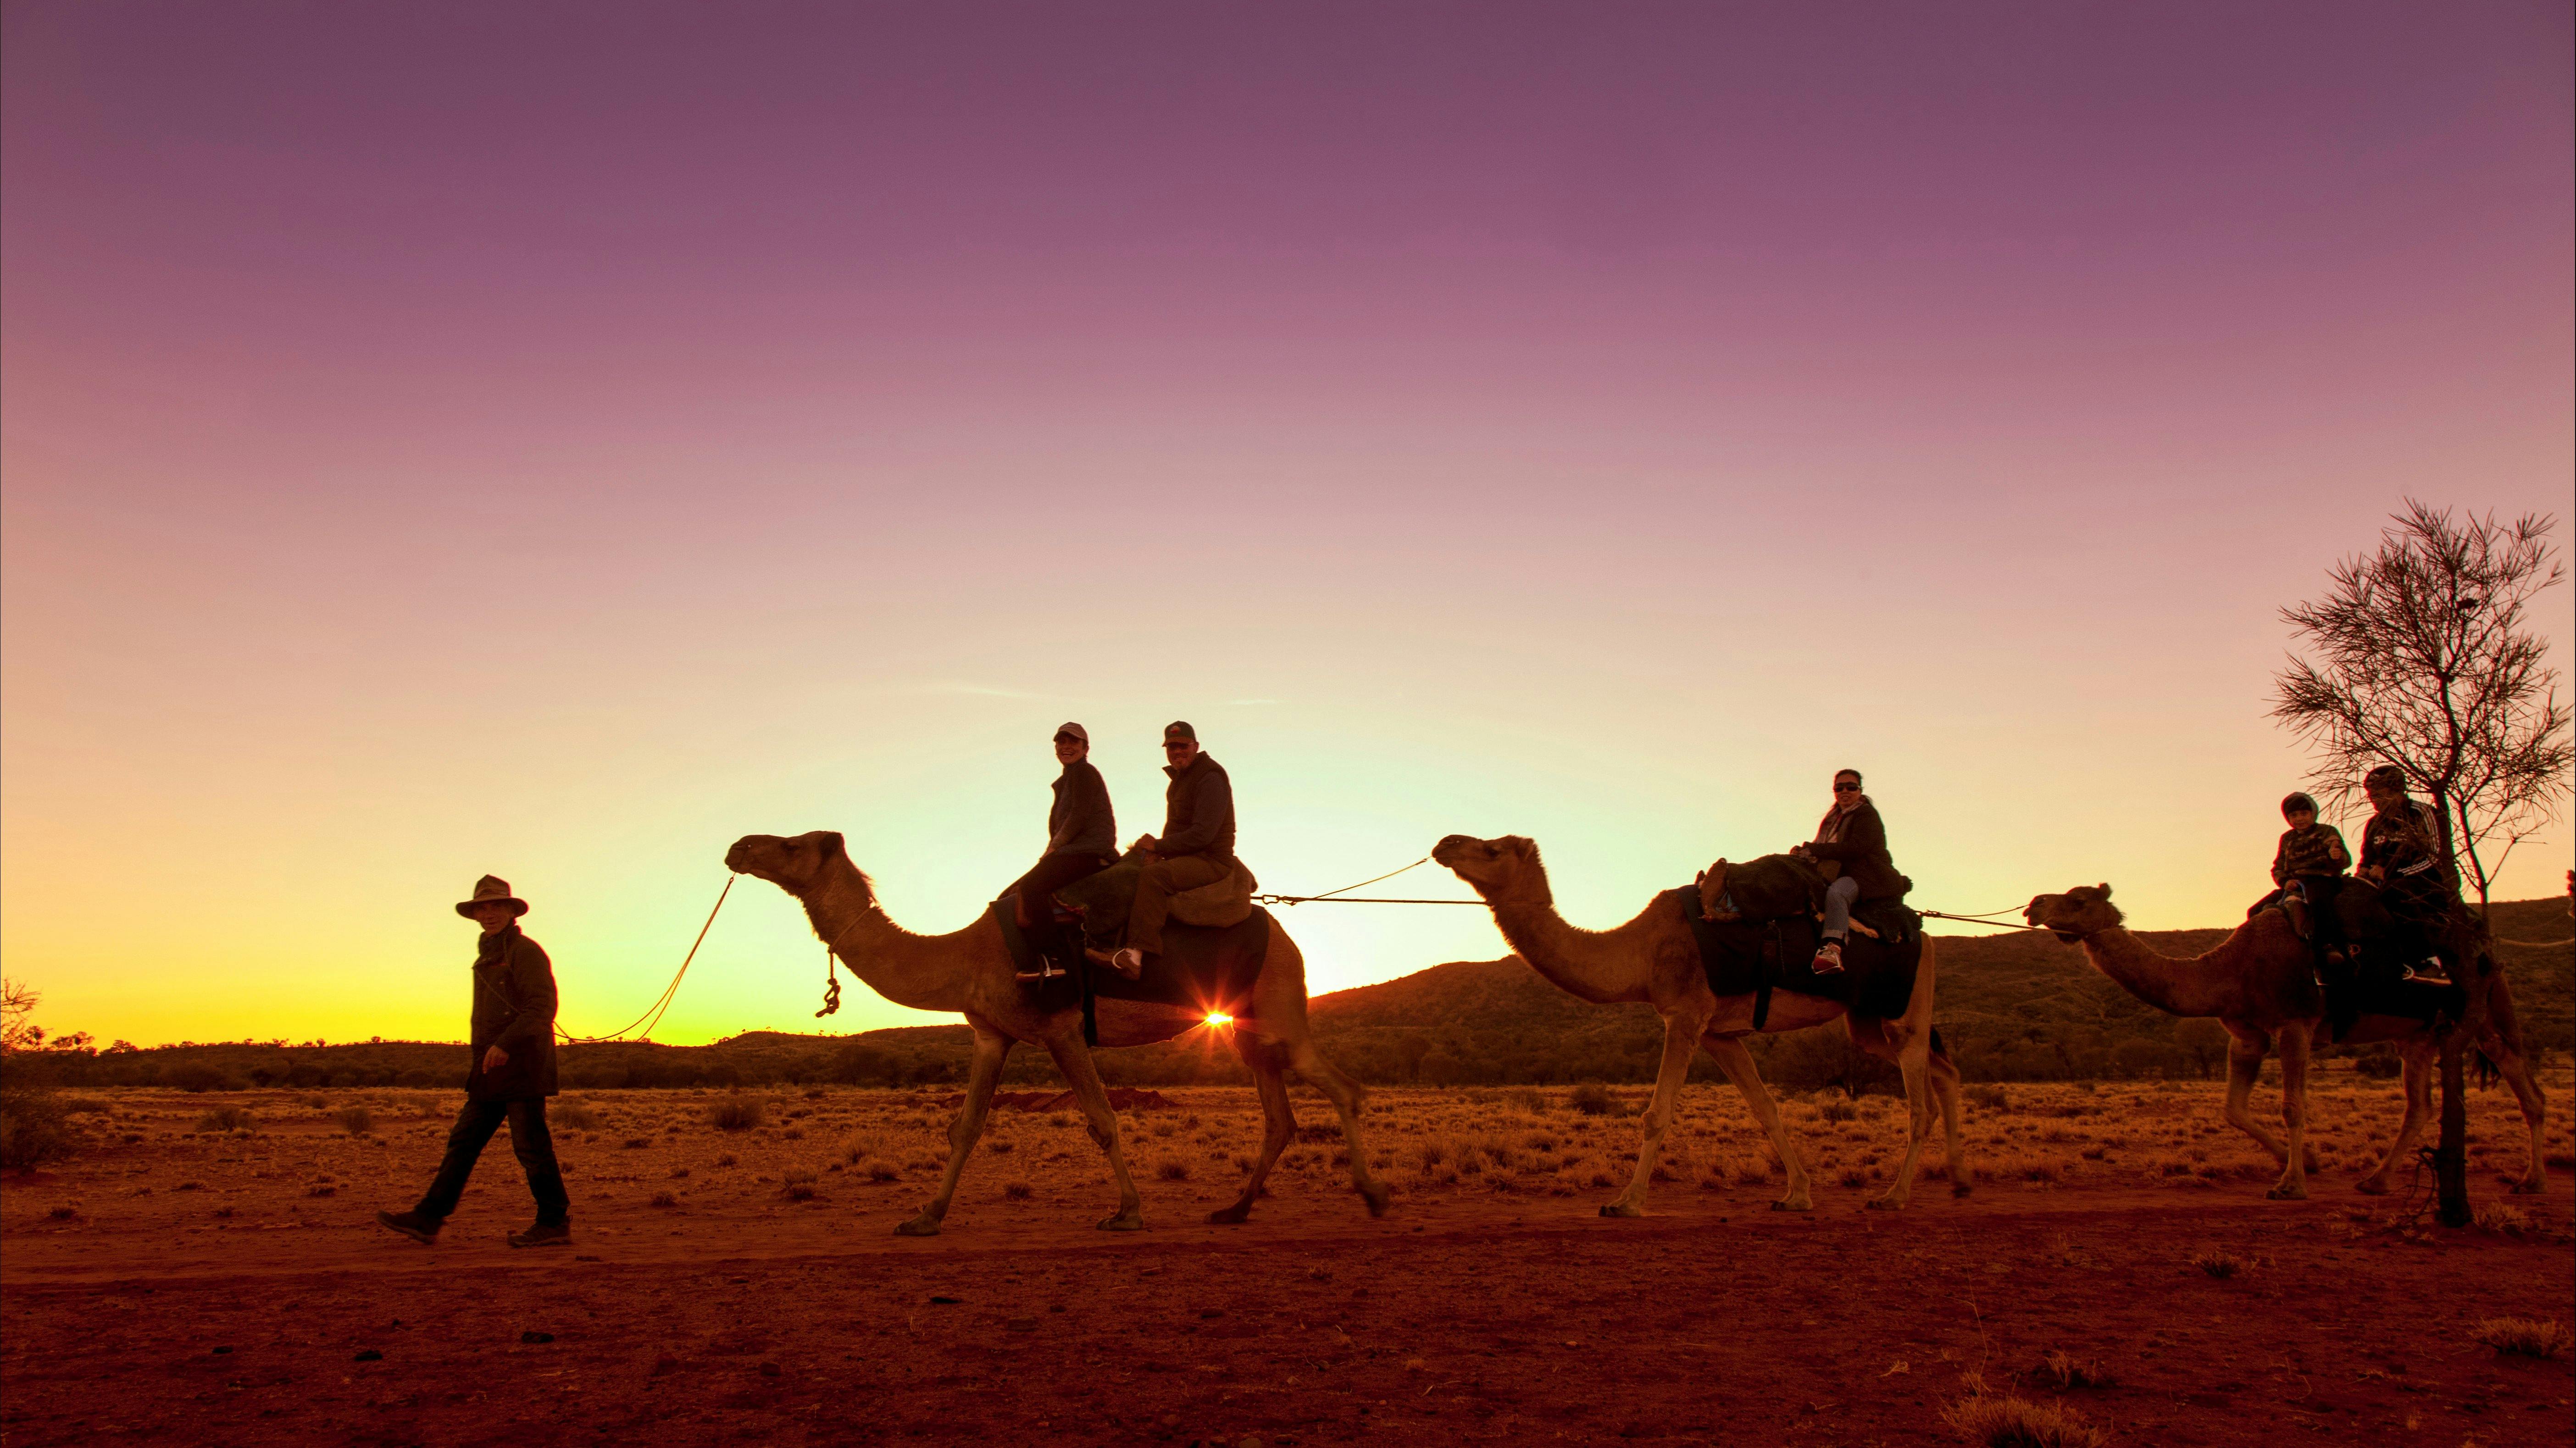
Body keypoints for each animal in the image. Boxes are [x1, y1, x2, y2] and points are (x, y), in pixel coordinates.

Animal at [724, 831, 1388, 1234]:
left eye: (790, 844)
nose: (738, 846)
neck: (965, 956)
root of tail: (1285, 934)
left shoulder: (1061, 1028)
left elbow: (1102, 1119)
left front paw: (1128, 1212)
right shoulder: (992, 1034)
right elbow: (965, 1126)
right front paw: (926, 1216)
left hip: (1280, 1012)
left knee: (1344, 1088)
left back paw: (1374, 1196)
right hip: (1249, 1031)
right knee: (1280, 1117)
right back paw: (1235, 1208)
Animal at [1432, 834, 1965, 1214]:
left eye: (1492, 848)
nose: (1444, 843)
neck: (1642, 953)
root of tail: (1925, 936)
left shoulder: (1685, 1015)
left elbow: (1657, 1113)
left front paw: (1626, 1202)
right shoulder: (1719, 1033)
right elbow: (1766, 1108)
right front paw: (1797, 1194)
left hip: (1904, 1012)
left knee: (1920, 1104)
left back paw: (1894, 1196)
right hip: (1868, 1020)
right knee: (1945, 1072)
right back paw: (1960, 1180)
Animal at [2022, 884, 2547, 1200]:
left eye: (2077, 899)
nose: (2033, 904)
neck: (2229, 970)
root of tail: (2483, 950)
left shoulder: (2297, 1022)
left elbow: (2293, 1106)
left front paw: (2290, 1183)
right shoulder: (2247, 1033)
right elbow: (2233, 1109)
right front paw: (2308, 1162)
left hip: (2484, 1009)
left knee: (2526, 1086)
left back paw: (2532, 1179)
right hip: (2417, 1035)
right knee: (2419, 1105)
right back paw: (2376, 1180)